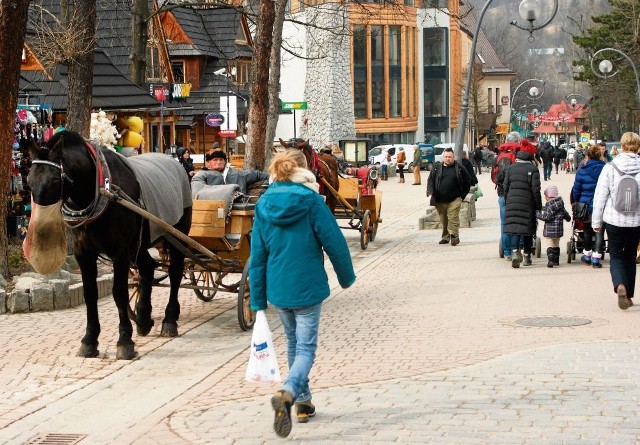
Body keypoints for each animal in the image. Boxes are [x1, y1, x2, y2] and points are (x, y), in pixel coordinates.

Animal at [26, 130, 192, 360]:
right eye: (28, 180)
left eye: (53, 180)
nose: (39, 230)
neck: (99, 190)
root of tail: (175, 163)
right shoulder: (83, 253)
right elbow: (90, 293)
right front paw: (89, 340)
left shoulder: (120, 252)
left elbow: (119, 293)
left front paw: (125, 341)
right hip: (140, 242)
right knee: (148, 267)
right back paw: (143, 317)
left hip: (178, 233)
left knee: (175, 272)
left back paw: (169, 320)